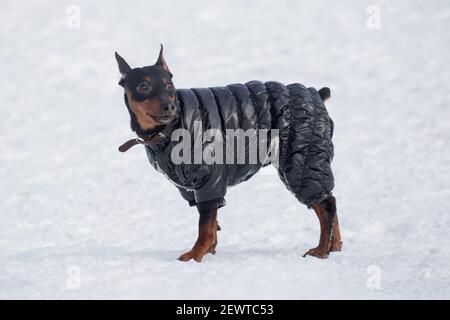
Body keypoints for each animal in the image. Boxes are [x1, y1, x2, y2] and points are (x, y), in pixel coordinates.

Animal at [115, 45, 342, 262]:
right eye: (143, 87)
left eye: (169, 85)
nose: (169, 106)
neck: (168, 131)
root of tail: (316, 94)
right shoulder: (191, 189)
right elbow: (212, 224)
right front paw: (209, 251)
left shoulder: (209, 179)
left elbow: (205, 226)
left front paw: (195, 255)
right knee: (328, 202)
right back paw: (335, 246)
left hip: (301, 162)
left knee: (327, 205)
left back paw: (321, 250)